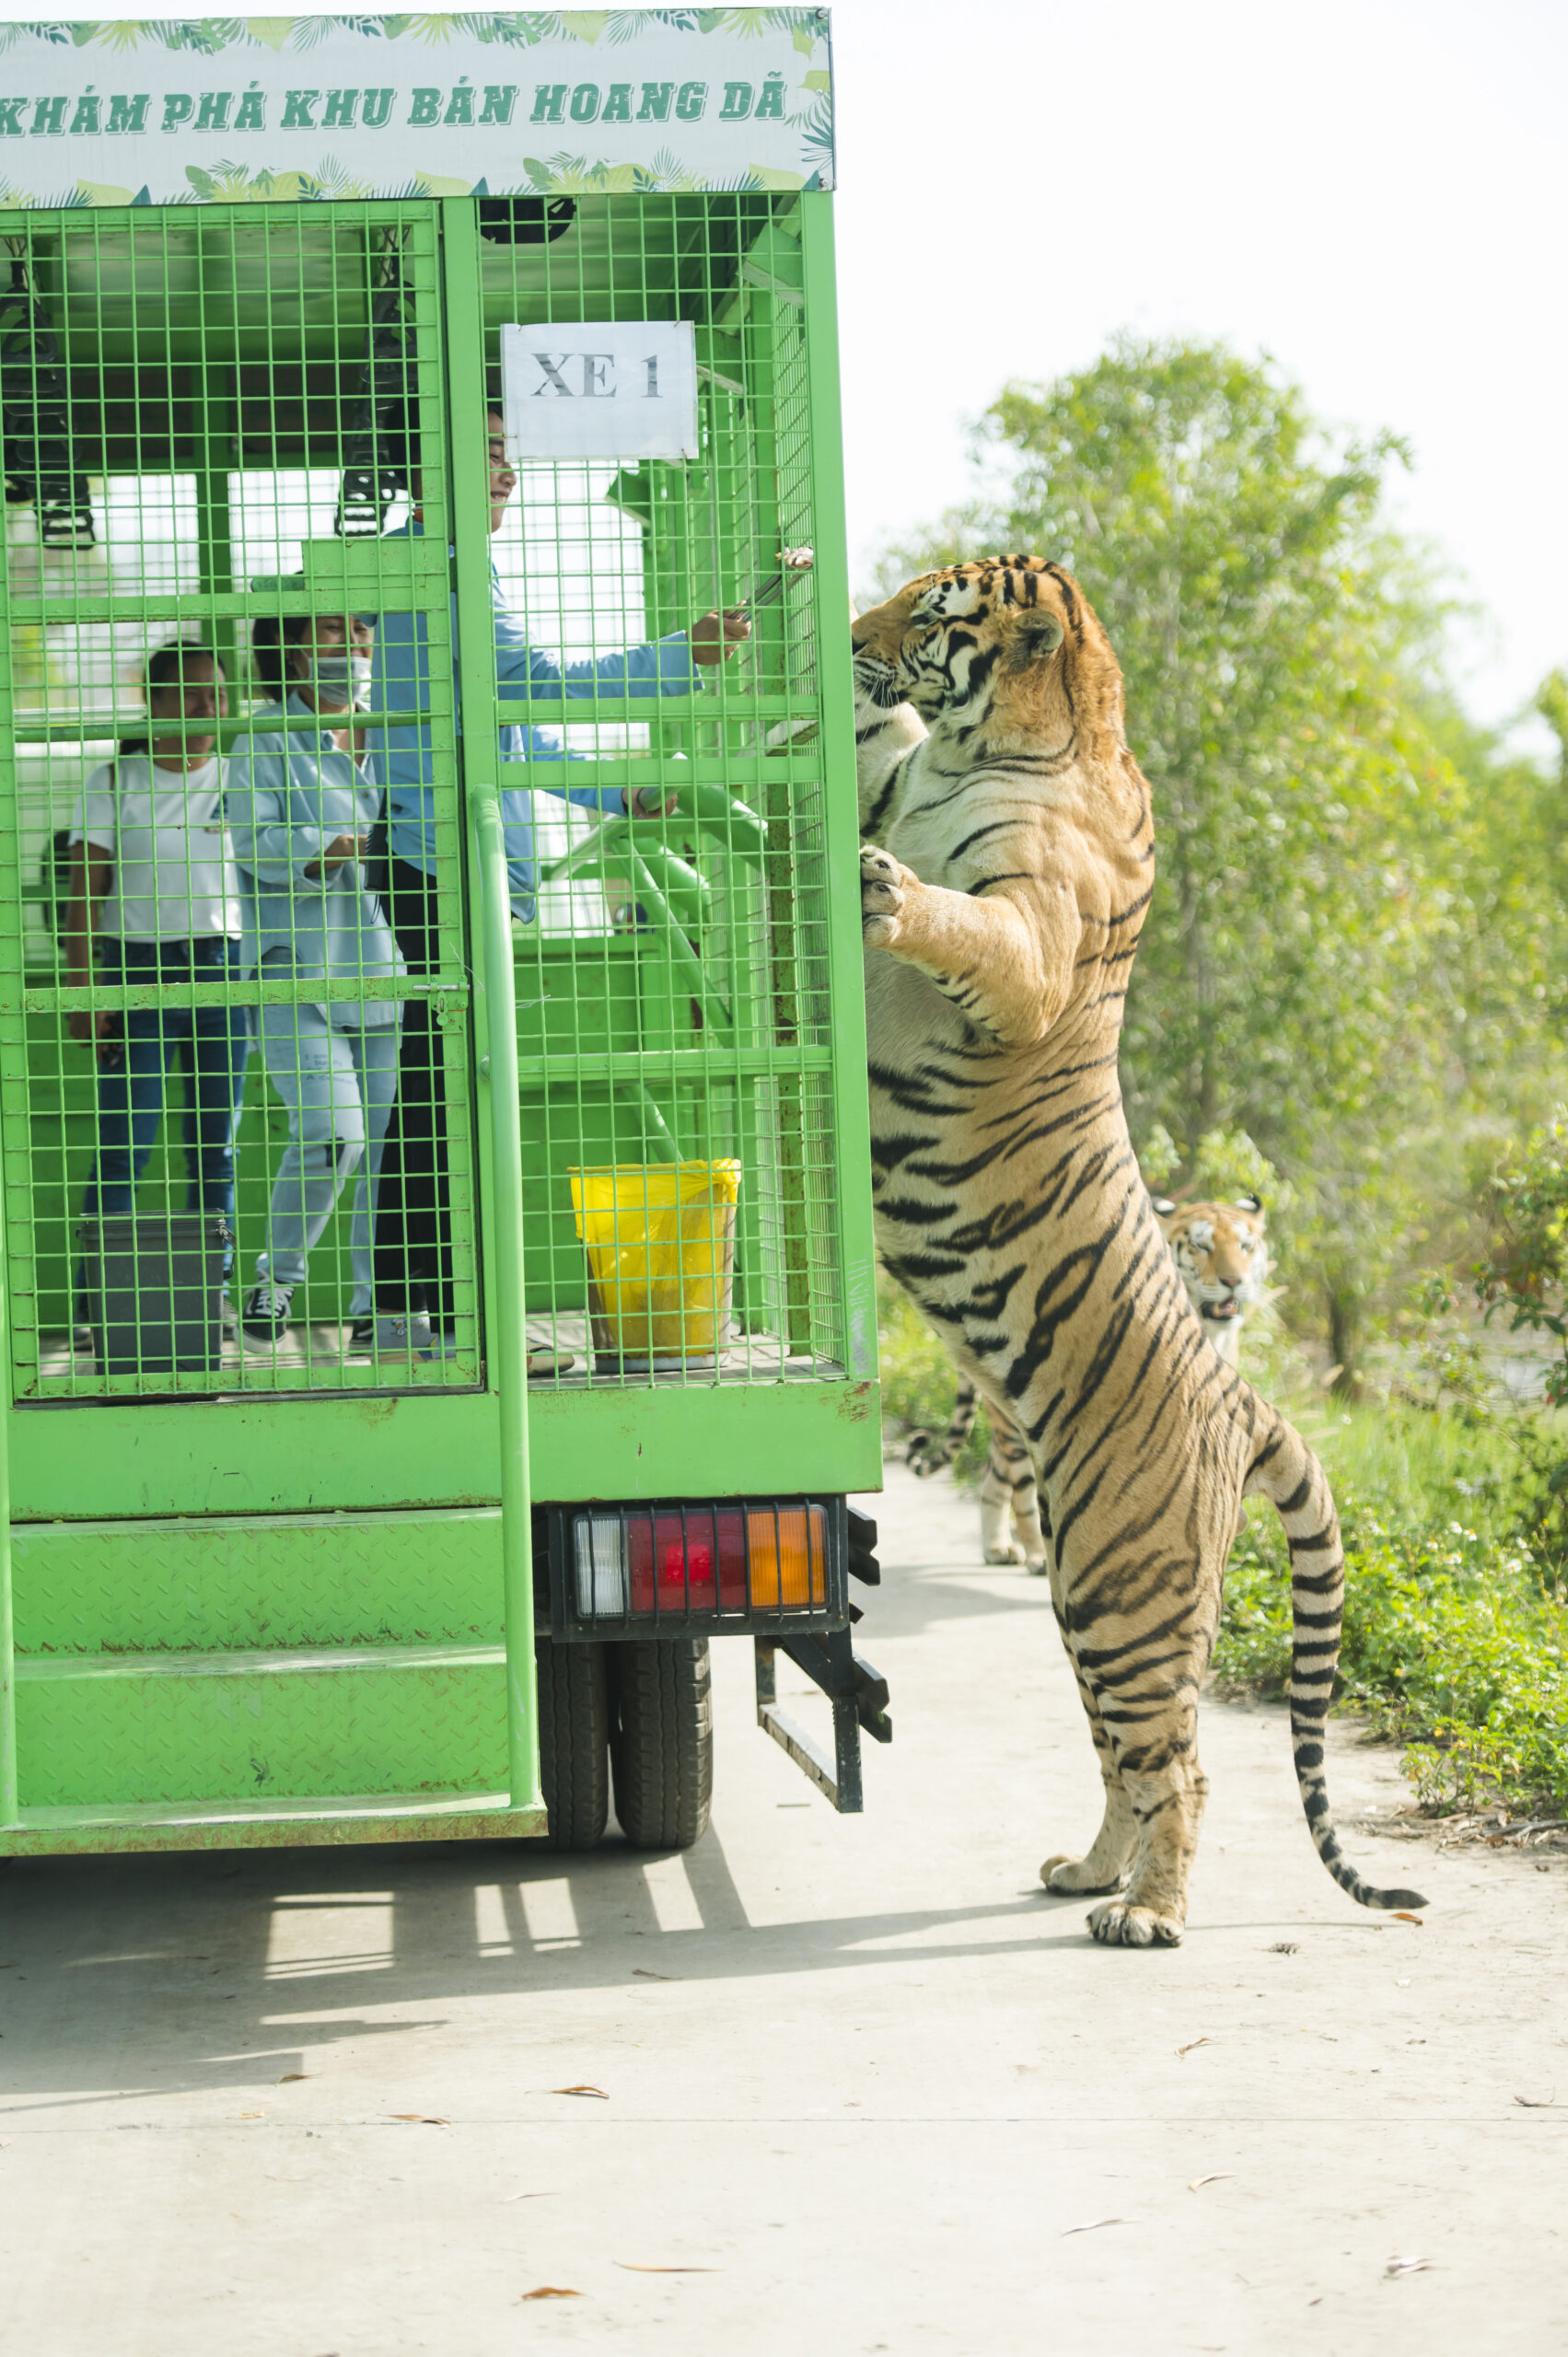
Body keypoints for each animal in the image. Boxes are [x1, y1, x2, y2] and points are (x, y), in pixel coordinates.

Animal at [905, 1197, 1272, 1564]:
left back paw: (997, 1548)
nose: (1234, 1280)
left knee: (993, 1474)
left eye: (1245, 1246)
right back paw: (1034, 1554)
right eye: (1200, 1247)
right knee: (1021, 1485)